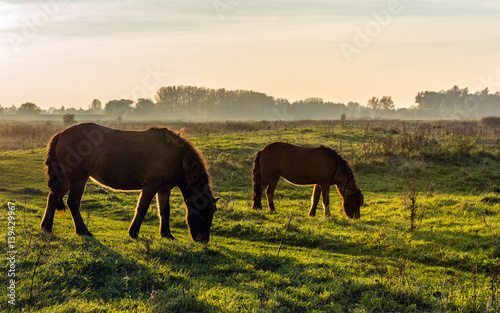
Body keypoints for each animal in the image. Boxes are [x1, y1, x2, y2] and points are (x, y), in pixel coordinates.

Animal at [40, 122, 217, 241]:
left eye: (212, 213)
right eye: (203, 214)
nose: (203, 240)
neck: (176, 155)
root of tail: (61, 134)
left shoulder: (164, 189)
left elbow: (164, 211)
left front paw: (166, 234)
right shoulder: (151, 185)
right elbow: (142, 208)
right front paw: (133, 232)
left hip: (66, 179)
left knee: (53, 197)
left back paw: (46, 227)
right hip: (78, 178)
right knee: (73, 202)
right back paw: (83, 231)